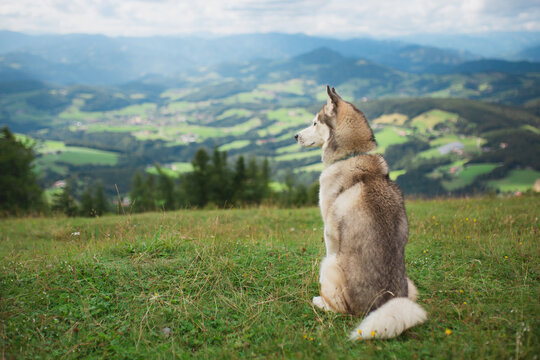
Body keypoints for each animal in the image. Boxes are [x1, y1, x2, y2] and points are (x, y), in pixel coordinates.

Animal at [296, 86, 426, 338]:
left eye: (315, 122)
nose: (294, 136)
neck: (353, 154)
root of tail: (381, 304)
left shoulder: (329, 231)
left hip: (330, 264)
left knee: (339, 308)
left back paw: (320, 301)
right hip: (409, 285)